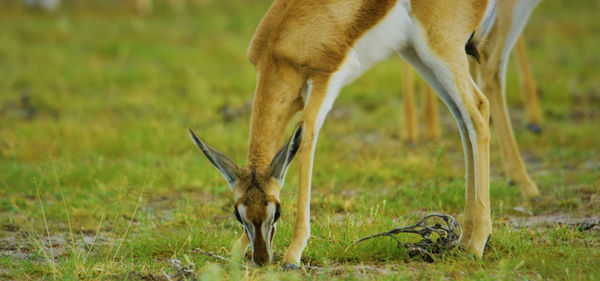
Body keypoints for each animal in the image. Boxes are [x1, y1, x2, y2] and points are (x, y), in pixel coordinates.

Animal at [190, 0, 540, 266]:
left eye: (277, 212)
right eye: (239, 214)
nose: (262, 259)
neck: (283, 42)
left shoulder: (324, 81)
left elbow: (307, 139)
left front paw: (293, 254)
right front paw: (238, 249)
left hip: (440, 49)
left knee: (478, 109)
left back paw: (478, 242)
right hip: (418, 55)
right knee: (462, 119)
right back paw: (464, 238)